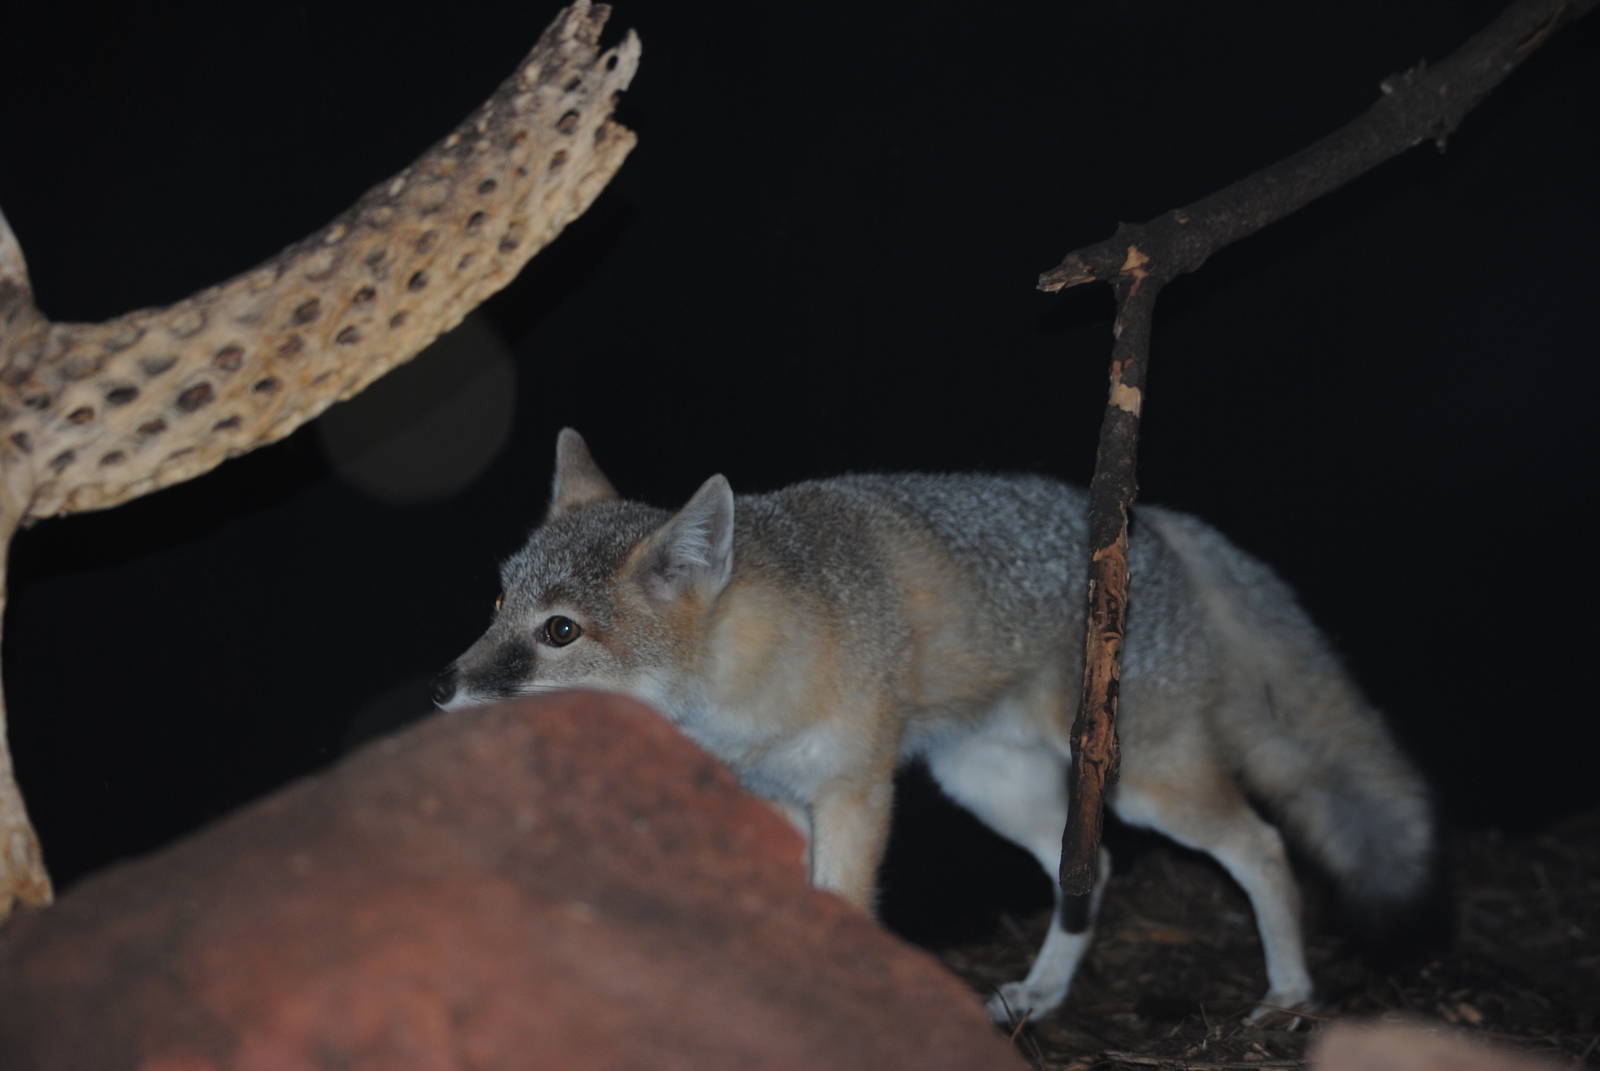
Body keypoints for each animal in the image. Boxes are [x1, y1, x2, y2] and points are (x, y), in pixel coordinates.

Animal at [432, 428, 1436, 1023]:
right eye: (497, 603)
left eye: (560, 632)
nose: (444, 687)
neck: (738, 699)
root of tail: (1154, 524)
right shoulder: (778, 800)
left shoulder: (854, 789)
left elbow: (843, 904)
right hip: (993, 788)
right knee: (1095, 870)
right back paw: (1042, 992)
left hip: (1150, 783)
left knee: (1261, 844)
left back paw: (1290, 992)